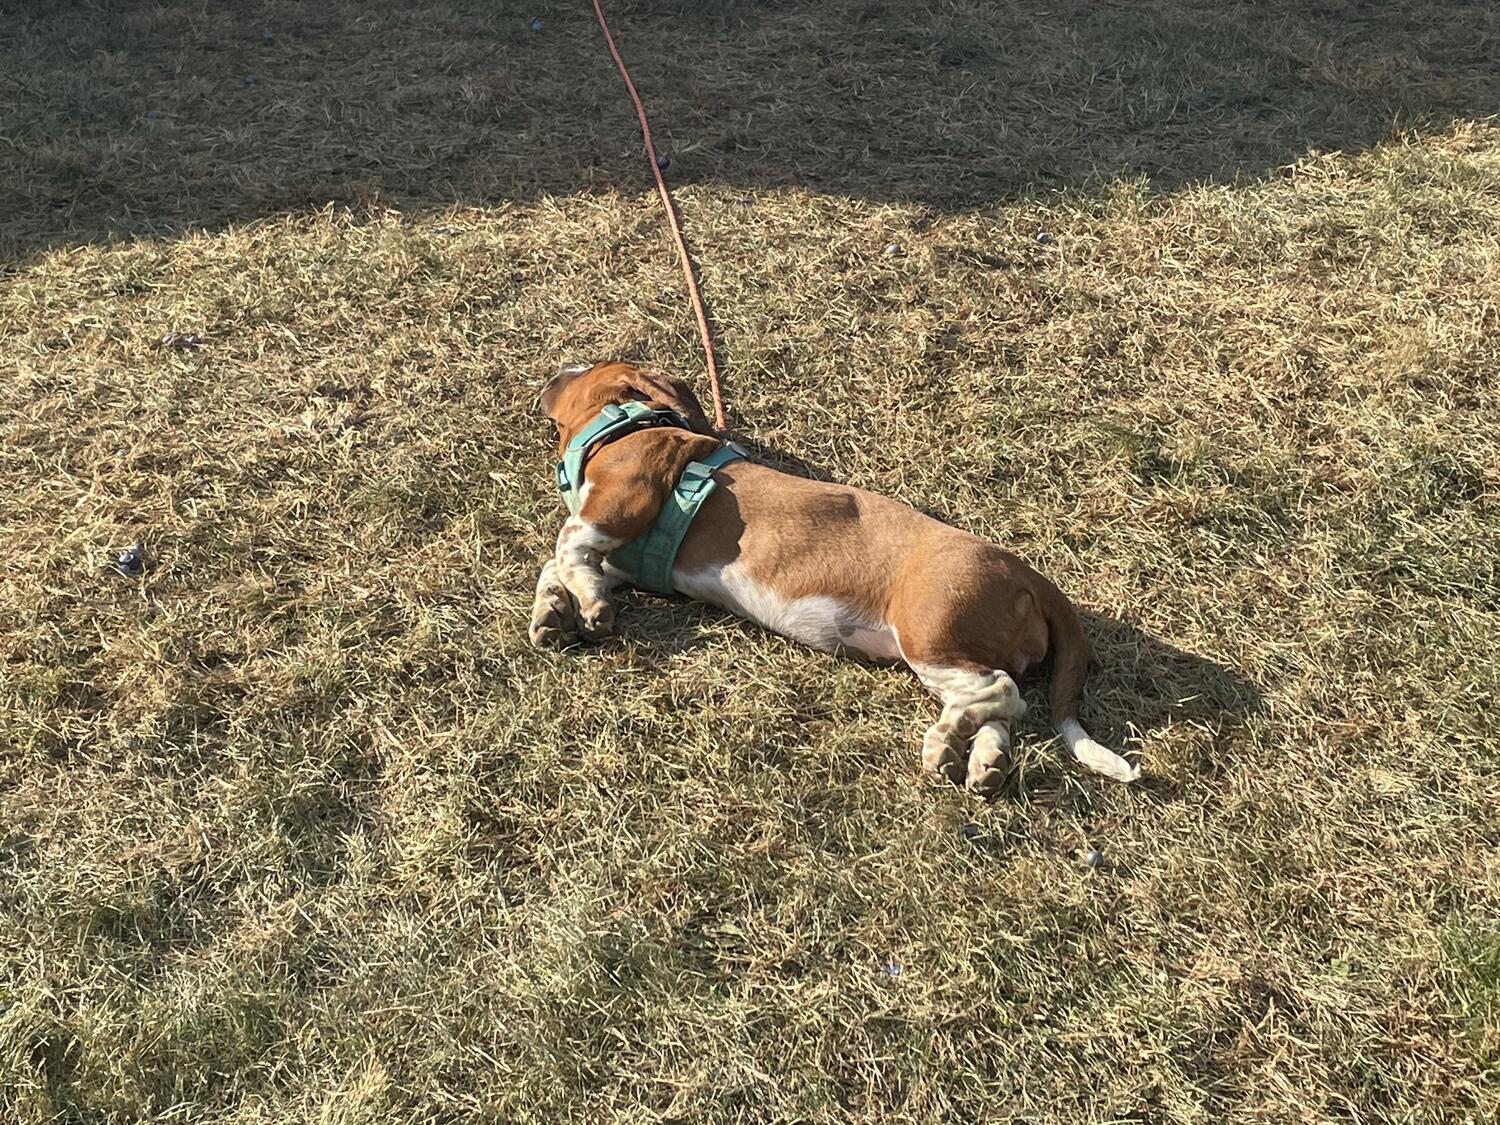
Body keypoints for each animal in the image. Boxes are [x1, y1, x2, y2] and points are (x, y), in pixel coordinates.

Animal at [528, 361, 1134, 792]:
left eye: (588, 369)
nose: (551, 375)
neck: (624, 428)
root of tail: (1027, 575)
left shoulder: (623, 502)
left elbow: (566, 543)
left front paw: (586, 604)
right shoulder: (626, 554)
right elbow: (557, 564)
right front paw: (552, 611)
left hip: (928, 634)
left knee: (1003, 692)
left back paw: (944, 741)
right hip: (956, 654)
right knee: (1001, 703)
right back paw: (985, 760)